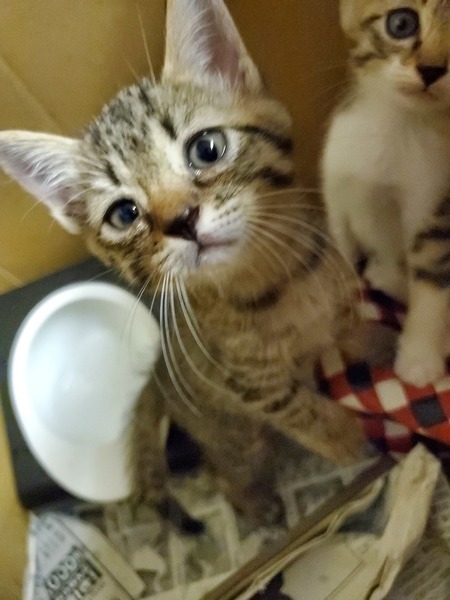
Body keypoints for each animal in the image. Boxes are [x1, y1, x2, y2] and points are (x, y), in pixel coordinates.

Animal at [0, 0, 364, 524]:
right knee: (225, 470)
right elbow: (302, 412)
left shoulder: (344, 306)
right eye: (124, 213)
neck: (277, 285)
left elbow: (362, 341)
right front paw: (348, 439)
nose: (183, 221)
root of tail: (154, 379)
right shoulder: (251, 387)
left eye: (207, 148)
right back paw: (256, 506)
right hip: (235, 434)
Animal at [322, 0, 450, 388]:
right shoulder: (336, 186)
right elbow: (341, 251)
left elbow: (431, 285)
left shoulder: (437, 207)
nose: (432, 69)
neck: (402, 124)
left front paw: (420, 357)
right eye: (401, 23)